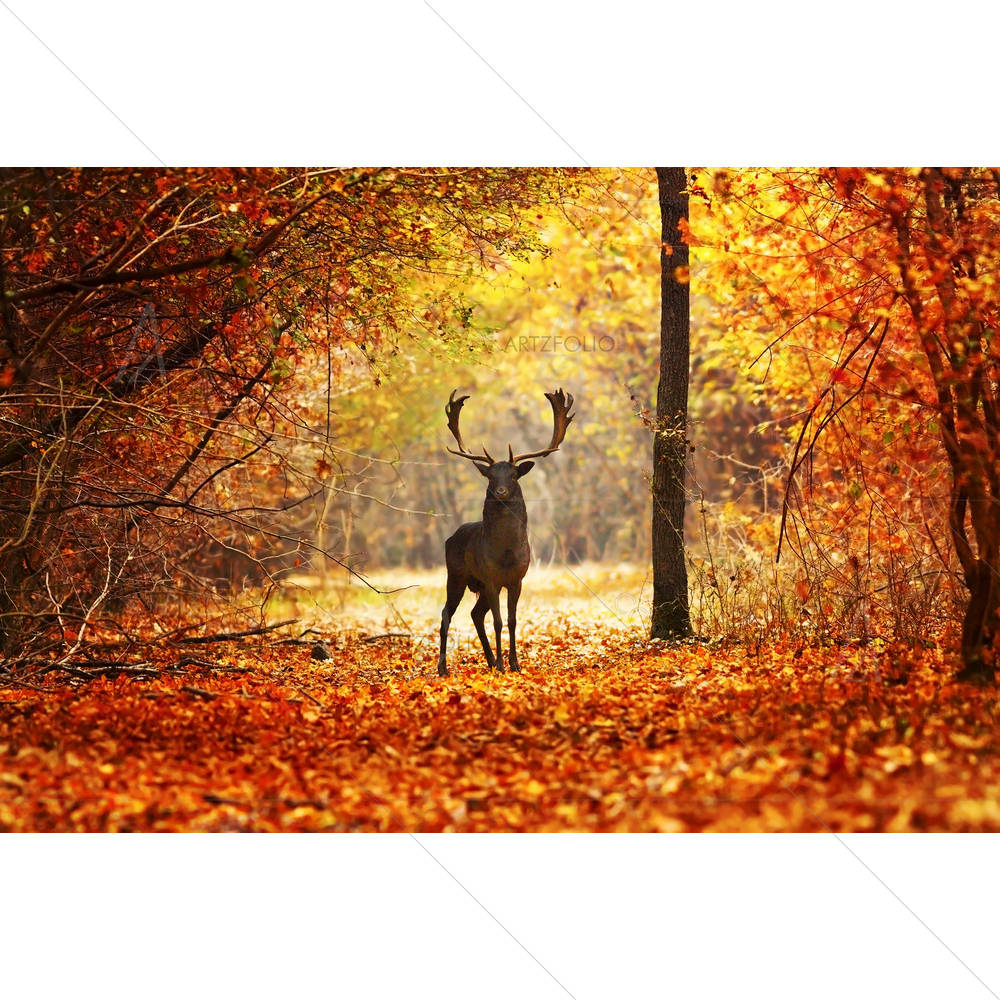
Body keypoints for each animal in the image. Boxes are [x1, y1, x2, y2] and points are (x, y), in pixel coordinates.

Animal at [437, 388, 575, 677]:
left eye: (512, 475)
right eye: (490, 476)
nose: (500, 491)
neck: (507, 552)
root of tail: (450, 537)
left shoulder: (516, 579)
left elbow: (511, 620)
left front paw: (514, 663)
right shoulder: (491, 578)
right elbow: (499, 621)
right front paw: (503, 665)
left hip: (475, 583)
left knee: (475, 614)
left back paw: (489, 660)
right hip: (456, 574)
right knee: (446, 614)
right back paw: (443, 667)